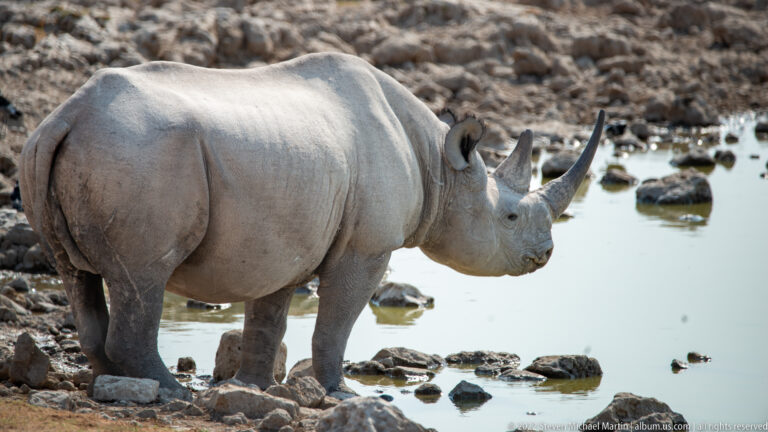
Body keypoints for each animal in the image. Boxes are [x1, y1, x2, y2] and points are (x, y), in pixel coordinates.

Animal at [20, 53, 604, 398]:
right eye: (510, 217)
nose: (545, 254)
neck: (440, 168)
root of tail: (70, 113)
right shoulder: (367, 247)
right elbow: (337, 321)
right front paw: (340, 393)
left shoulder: (283, 239)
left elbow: (268, 319)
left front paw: (252, 389)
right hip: (141, 155)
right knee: (143, 277)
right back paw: (172, 392)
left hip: (61, 147)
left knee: (76, 273)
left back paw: (116, 380)